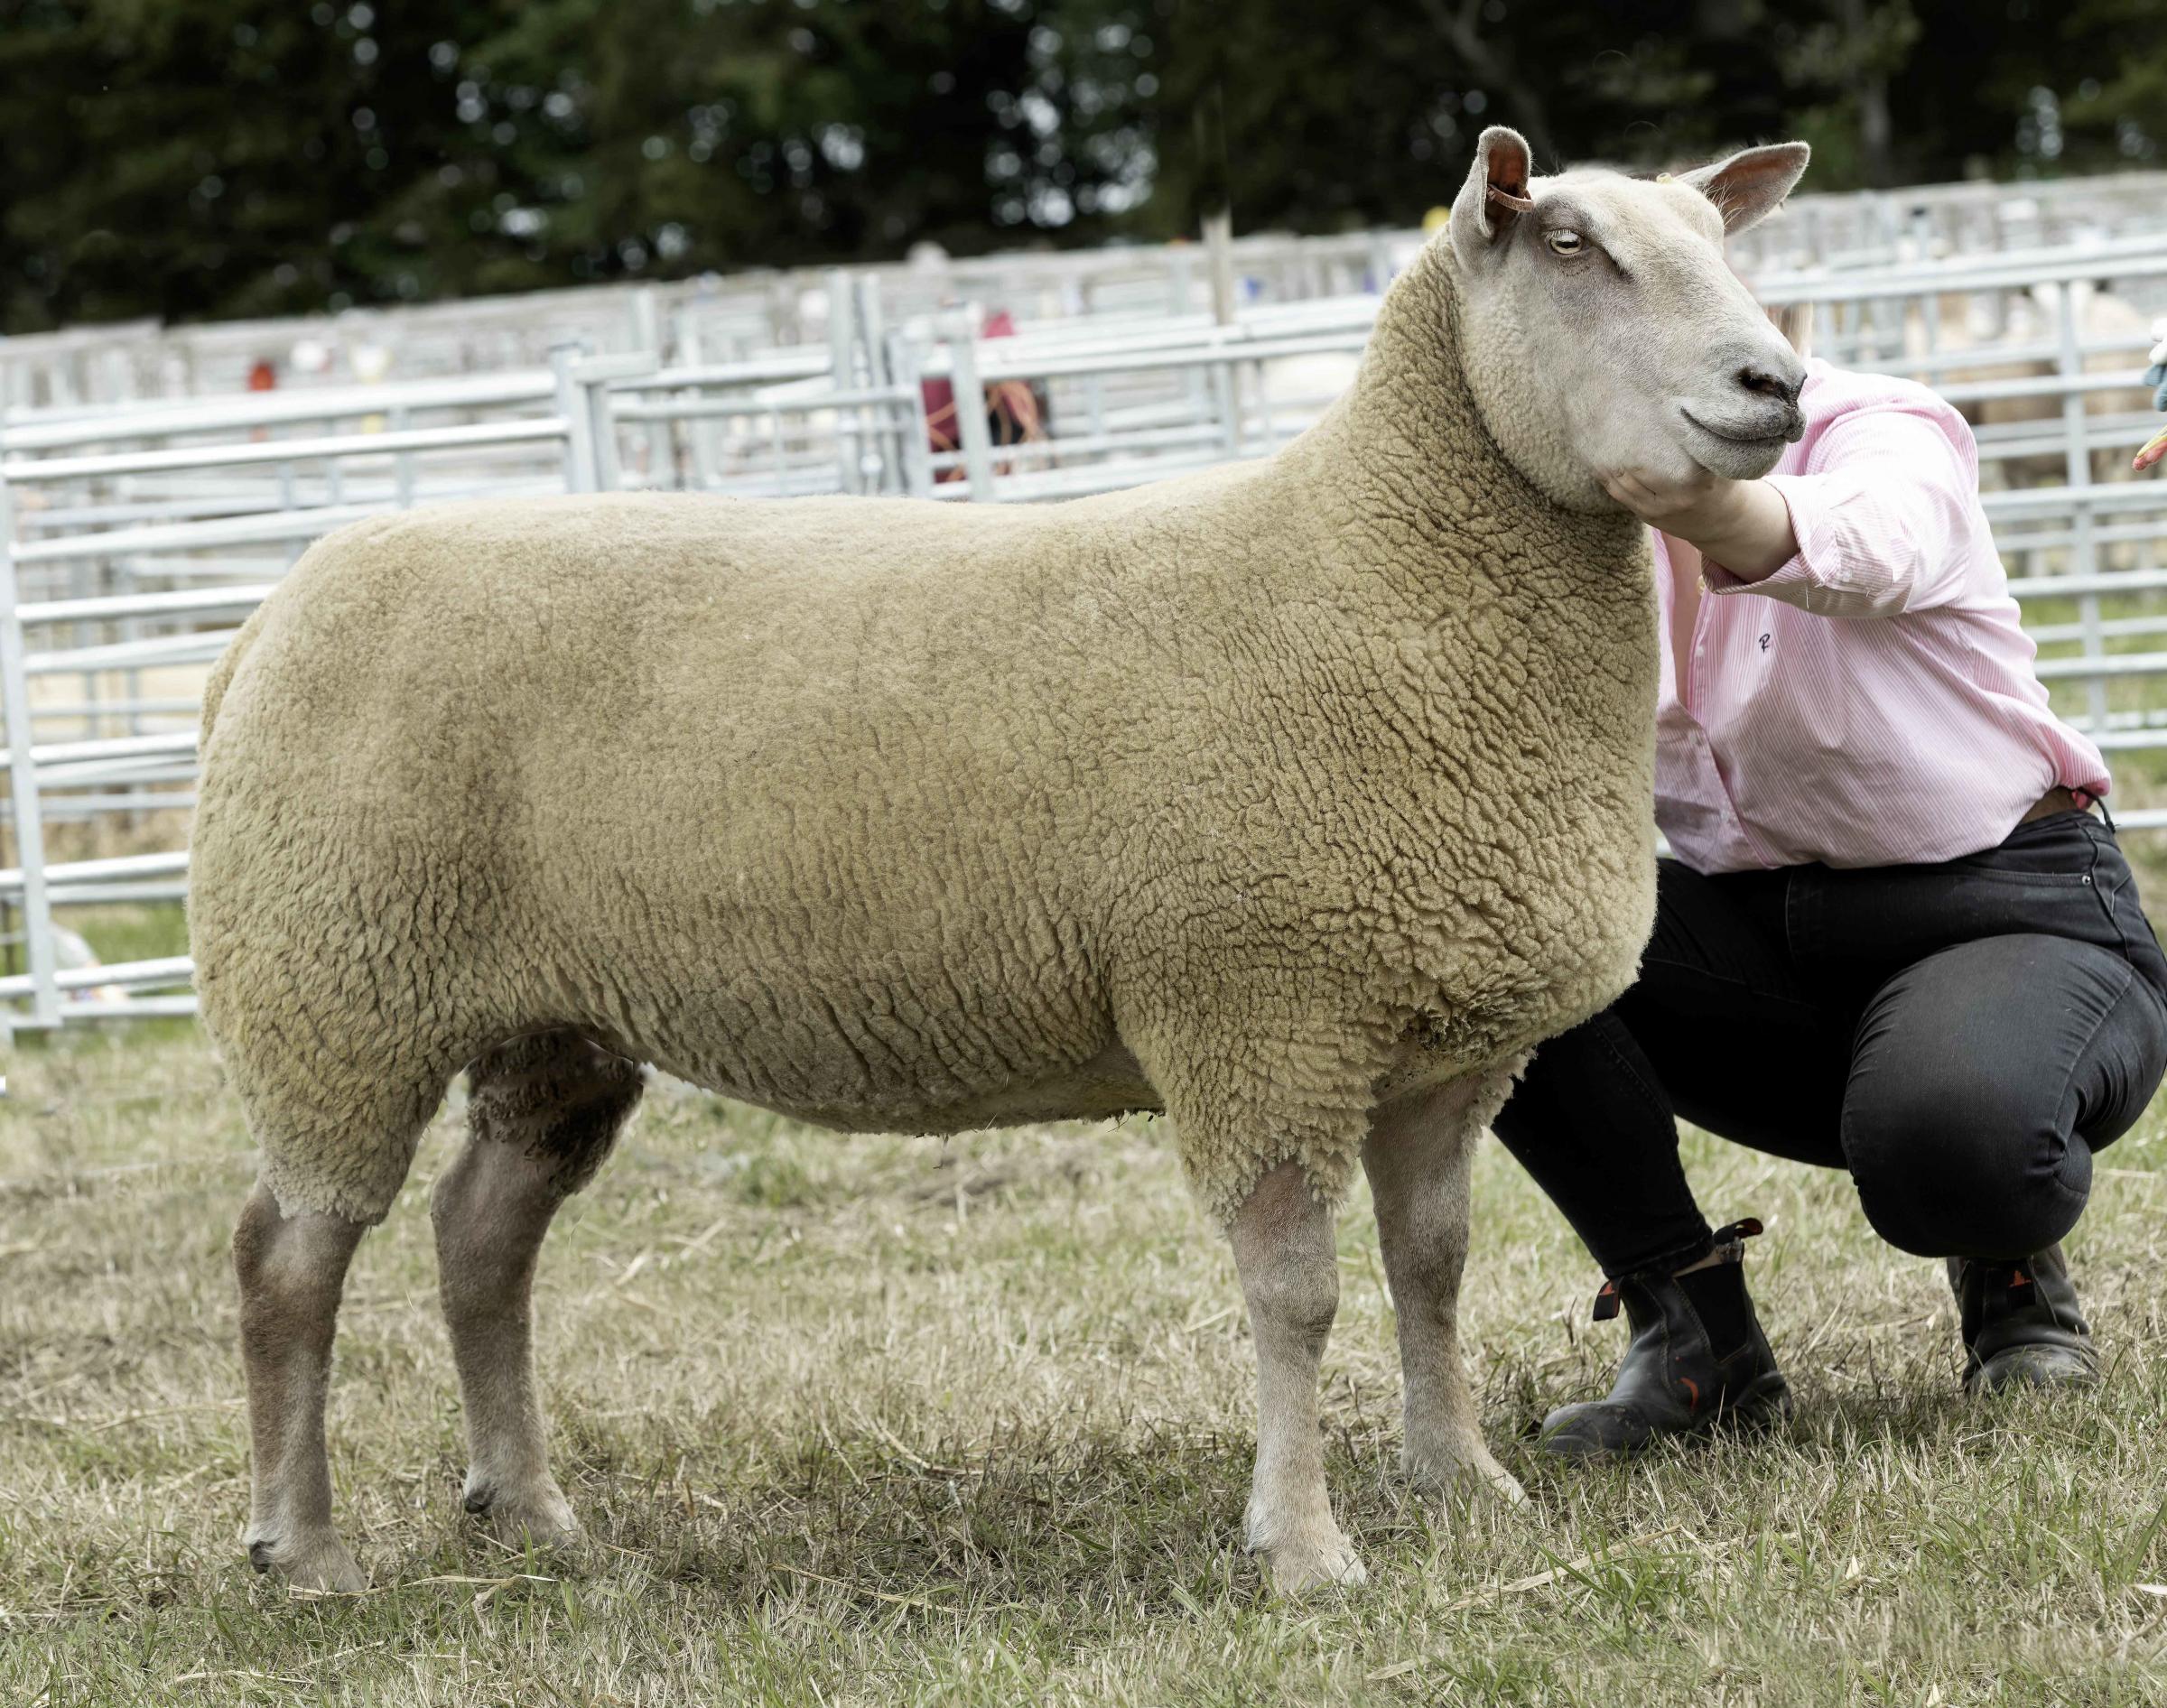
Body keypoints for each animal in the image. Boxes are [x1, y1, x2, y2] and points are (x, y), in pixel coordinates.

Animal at [186, 130, 1811, 1603]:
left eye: (1716, 239)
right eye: (1572, 248)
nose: (1777, 386)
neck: (1375, 563)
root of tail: (273, 614)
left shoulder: (1439, 1046)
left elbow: (1433, 1269)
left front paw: (1460, 1482)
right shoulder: (1256, 1014)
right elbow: (1297, 1298)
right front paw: (1304, 1549)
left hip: (544, 1019)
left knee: (480, 1237)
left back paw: (525, 1510)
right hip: (337, 987)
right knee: (287, 1260)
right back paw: (303, 1549)